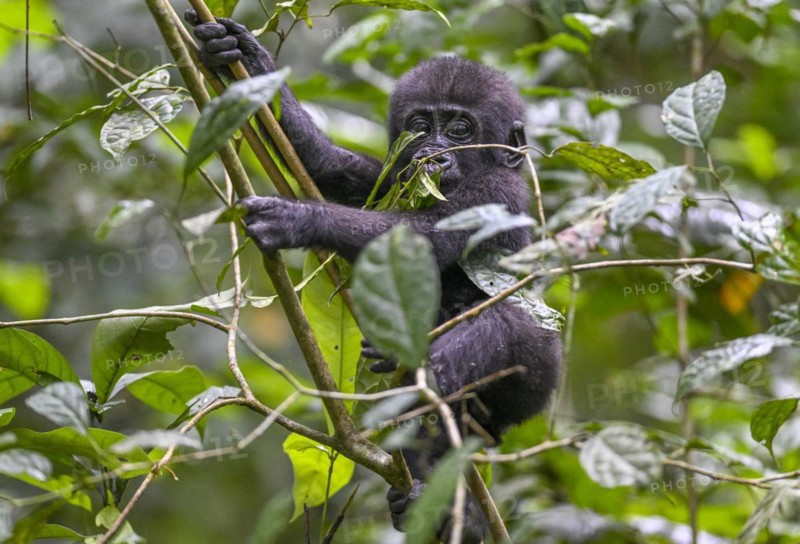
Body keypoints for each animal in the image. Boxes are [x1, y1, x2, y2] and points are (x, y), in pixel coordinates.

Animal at [186, 11, 561, 542]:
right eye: (421, 127)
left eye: (461, 130)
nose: (435, 154)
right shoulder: (390, 175)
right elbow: (335, 170)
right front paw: (242, 55)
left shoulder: (496, 190)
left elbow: (420, 241)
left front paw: (302, 220)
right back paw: (449, 512)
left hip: (540, 372)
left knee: (498, 329)